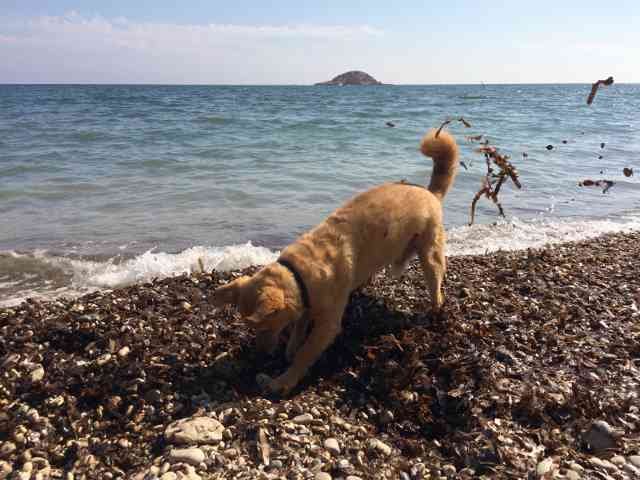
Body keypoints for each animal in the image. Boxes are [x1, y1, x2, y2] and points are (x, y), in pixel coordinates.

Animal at [215, 129, 460, 396]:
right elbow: (299, 326)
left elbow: (305, 353)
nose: (261, 355)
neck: (299, 272)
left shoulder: (327, 326)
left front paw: (284, 380)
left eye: (264, 328)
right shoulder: (305, 303)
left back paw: (434, 310)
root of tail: (430, 192)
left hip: (430, 256)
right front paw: (291, 346)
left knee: (435, 287)